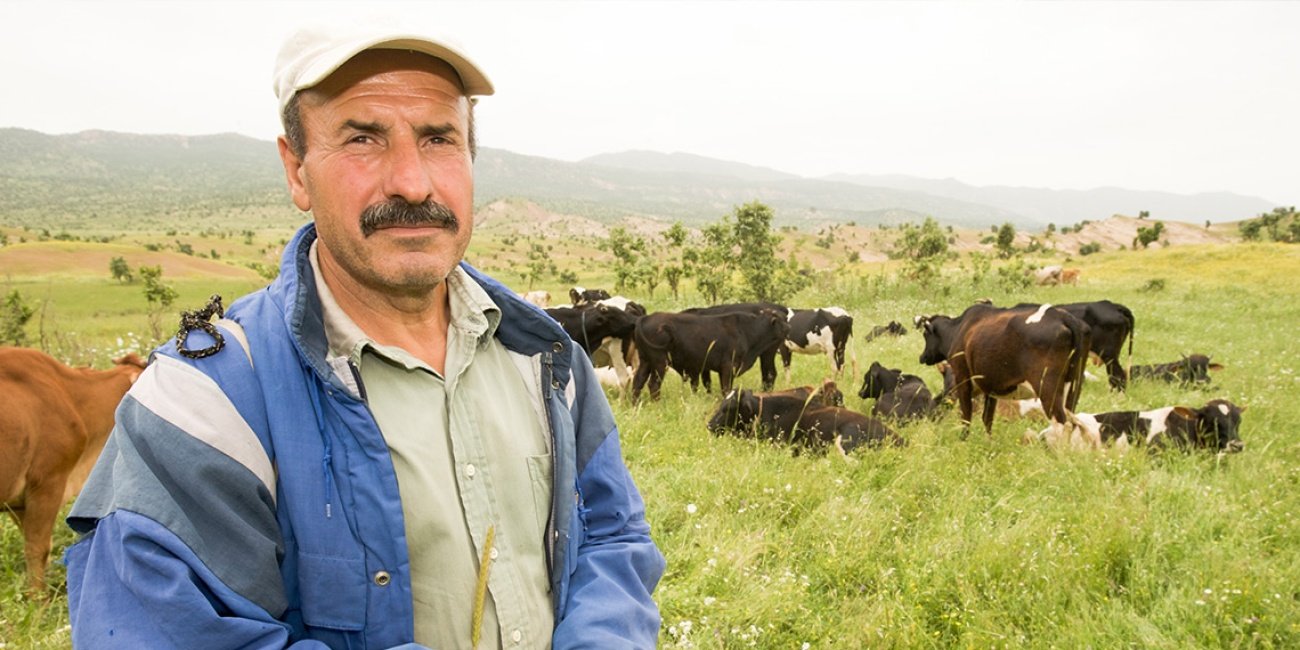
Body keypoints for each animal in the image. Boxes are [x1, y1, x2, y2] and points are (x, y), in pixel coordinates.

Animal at [631, 306, 790, 397]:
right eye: (781, 321)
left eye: (784, 319)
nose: (789, 328)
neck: (747, 330)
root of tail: (645, 318)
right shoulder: (728, 367)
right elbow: (725, 388)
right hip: (659, 363)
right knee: (653, 385)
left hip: (646, 361)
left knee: (638, 382)